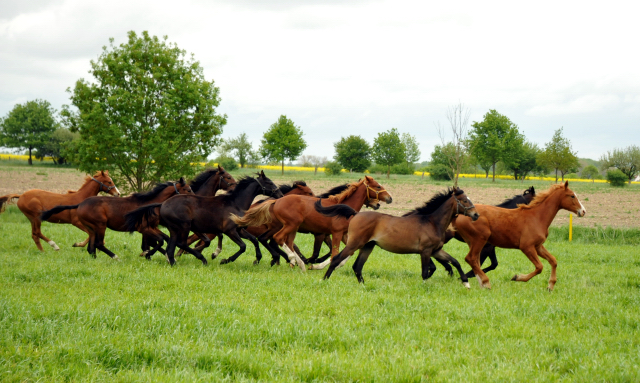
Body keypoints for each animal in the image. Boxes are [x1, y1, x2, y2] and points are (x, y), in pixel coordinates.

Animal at [41, 178, 192, 260]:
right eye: (188, 189)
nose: (194, 198)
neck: (149, 204)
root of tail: (80, 204)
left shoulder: (150, 228)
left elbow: (161, 239)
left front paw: (161, 255)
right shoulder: (144, 228)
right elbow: (158, 241)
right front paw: (148, 254)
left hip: (92, 228)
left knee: (91, 247)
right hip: (100, 225)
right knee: (99, 244)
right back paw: (115, 257)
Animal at [124, 172, 282, 268]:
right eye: (269, 182)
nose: (280, 194)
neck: (235, 203)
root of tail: (162, 204)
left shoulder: (239, 229)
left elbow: (254, 240)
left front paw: (257, 259)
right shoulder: (230, 231)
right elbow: (243, 246)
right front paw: (225, 260)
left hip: (174, 229)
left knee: (171, 246)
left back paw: (172, 261)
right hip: (184, 226)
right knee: (181, 243)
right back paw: (201, 258)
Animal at [230, 176, 390, 272]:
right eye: (377, 186)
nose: (389, 199)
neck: (343, 207)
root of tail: (275, 201)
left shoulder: (343, 234)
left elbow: (349, 251)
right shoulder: (331, 233)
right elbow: (330, 253)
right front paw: (316, 264)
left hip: (291, 228)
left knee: (282, 242)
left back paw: (292, 261)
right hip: (289, 225)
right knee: (277, 239)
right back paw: (293, 260)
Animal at [316, 186, 480, 288]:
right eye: (464, 200)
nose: (476, 215)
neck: (432, 222)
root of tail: (356, 214)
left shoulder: (436, 251)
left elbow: (455, 262)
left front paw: (466, 283)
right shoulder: (426, 251)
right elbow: (425, 271)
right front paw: (424, 287)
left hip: (368, 246)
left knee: (357, 266)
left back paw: (363, 285)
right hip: (354, 244)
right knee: (337, 259)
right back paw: (324, 280)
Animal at [456, 182, 584, 292]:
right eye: (572, 196)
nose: (583, 211)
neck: (537, 217)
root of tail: (460, 215)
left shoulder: (538, 246)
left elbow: (553, 261)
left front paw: (550, 286)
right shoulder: (526, 247)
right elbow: (539, 267)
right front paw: (517, 277)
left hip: (474, 242)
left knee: (475, 261)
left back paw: (480, 283)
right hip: (480, 240)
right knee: (470, 258)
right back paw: (485, 282)